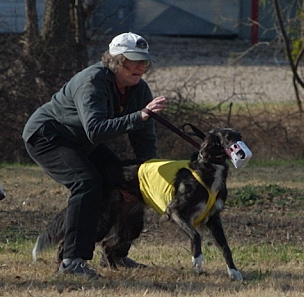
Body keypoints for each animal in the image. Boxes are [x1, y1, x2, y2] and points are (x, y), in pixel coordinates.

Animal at [32, 127, 252, 280]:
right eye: (228, 138)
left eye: (239, 135)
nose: (242, 151)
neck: (208, 169)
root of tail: (103, 173)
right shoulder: (176, 212)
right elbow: (196, 235)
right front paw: (197, 261)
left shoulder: (213, 218)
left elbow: (225, 247)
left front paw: (234, 272)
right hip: (100, 219)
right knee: (68, 242)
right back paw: (62, 268)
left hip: (130, 223)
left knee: (107, 244)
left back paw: (115, 269)